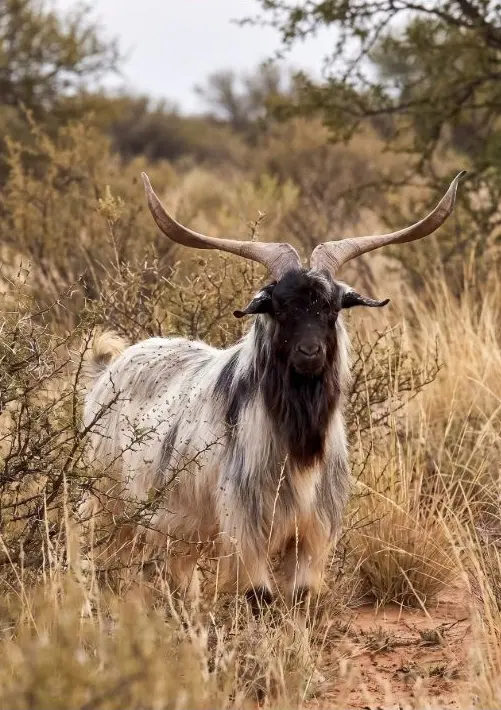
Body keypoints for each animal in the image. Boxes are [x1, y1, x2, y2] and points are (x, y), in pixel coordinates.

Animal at [82, 171, 465, 614]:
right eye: (278, 307)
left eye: (332, 307)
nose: (310, 353)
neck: (298, 449)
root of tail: (107, 369)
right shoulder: (246, 531)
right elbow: (260, 598)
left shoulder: (311, 536)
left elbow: (300, 598)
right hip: (104, 500)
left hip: (179, 528)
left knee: (179, 575)